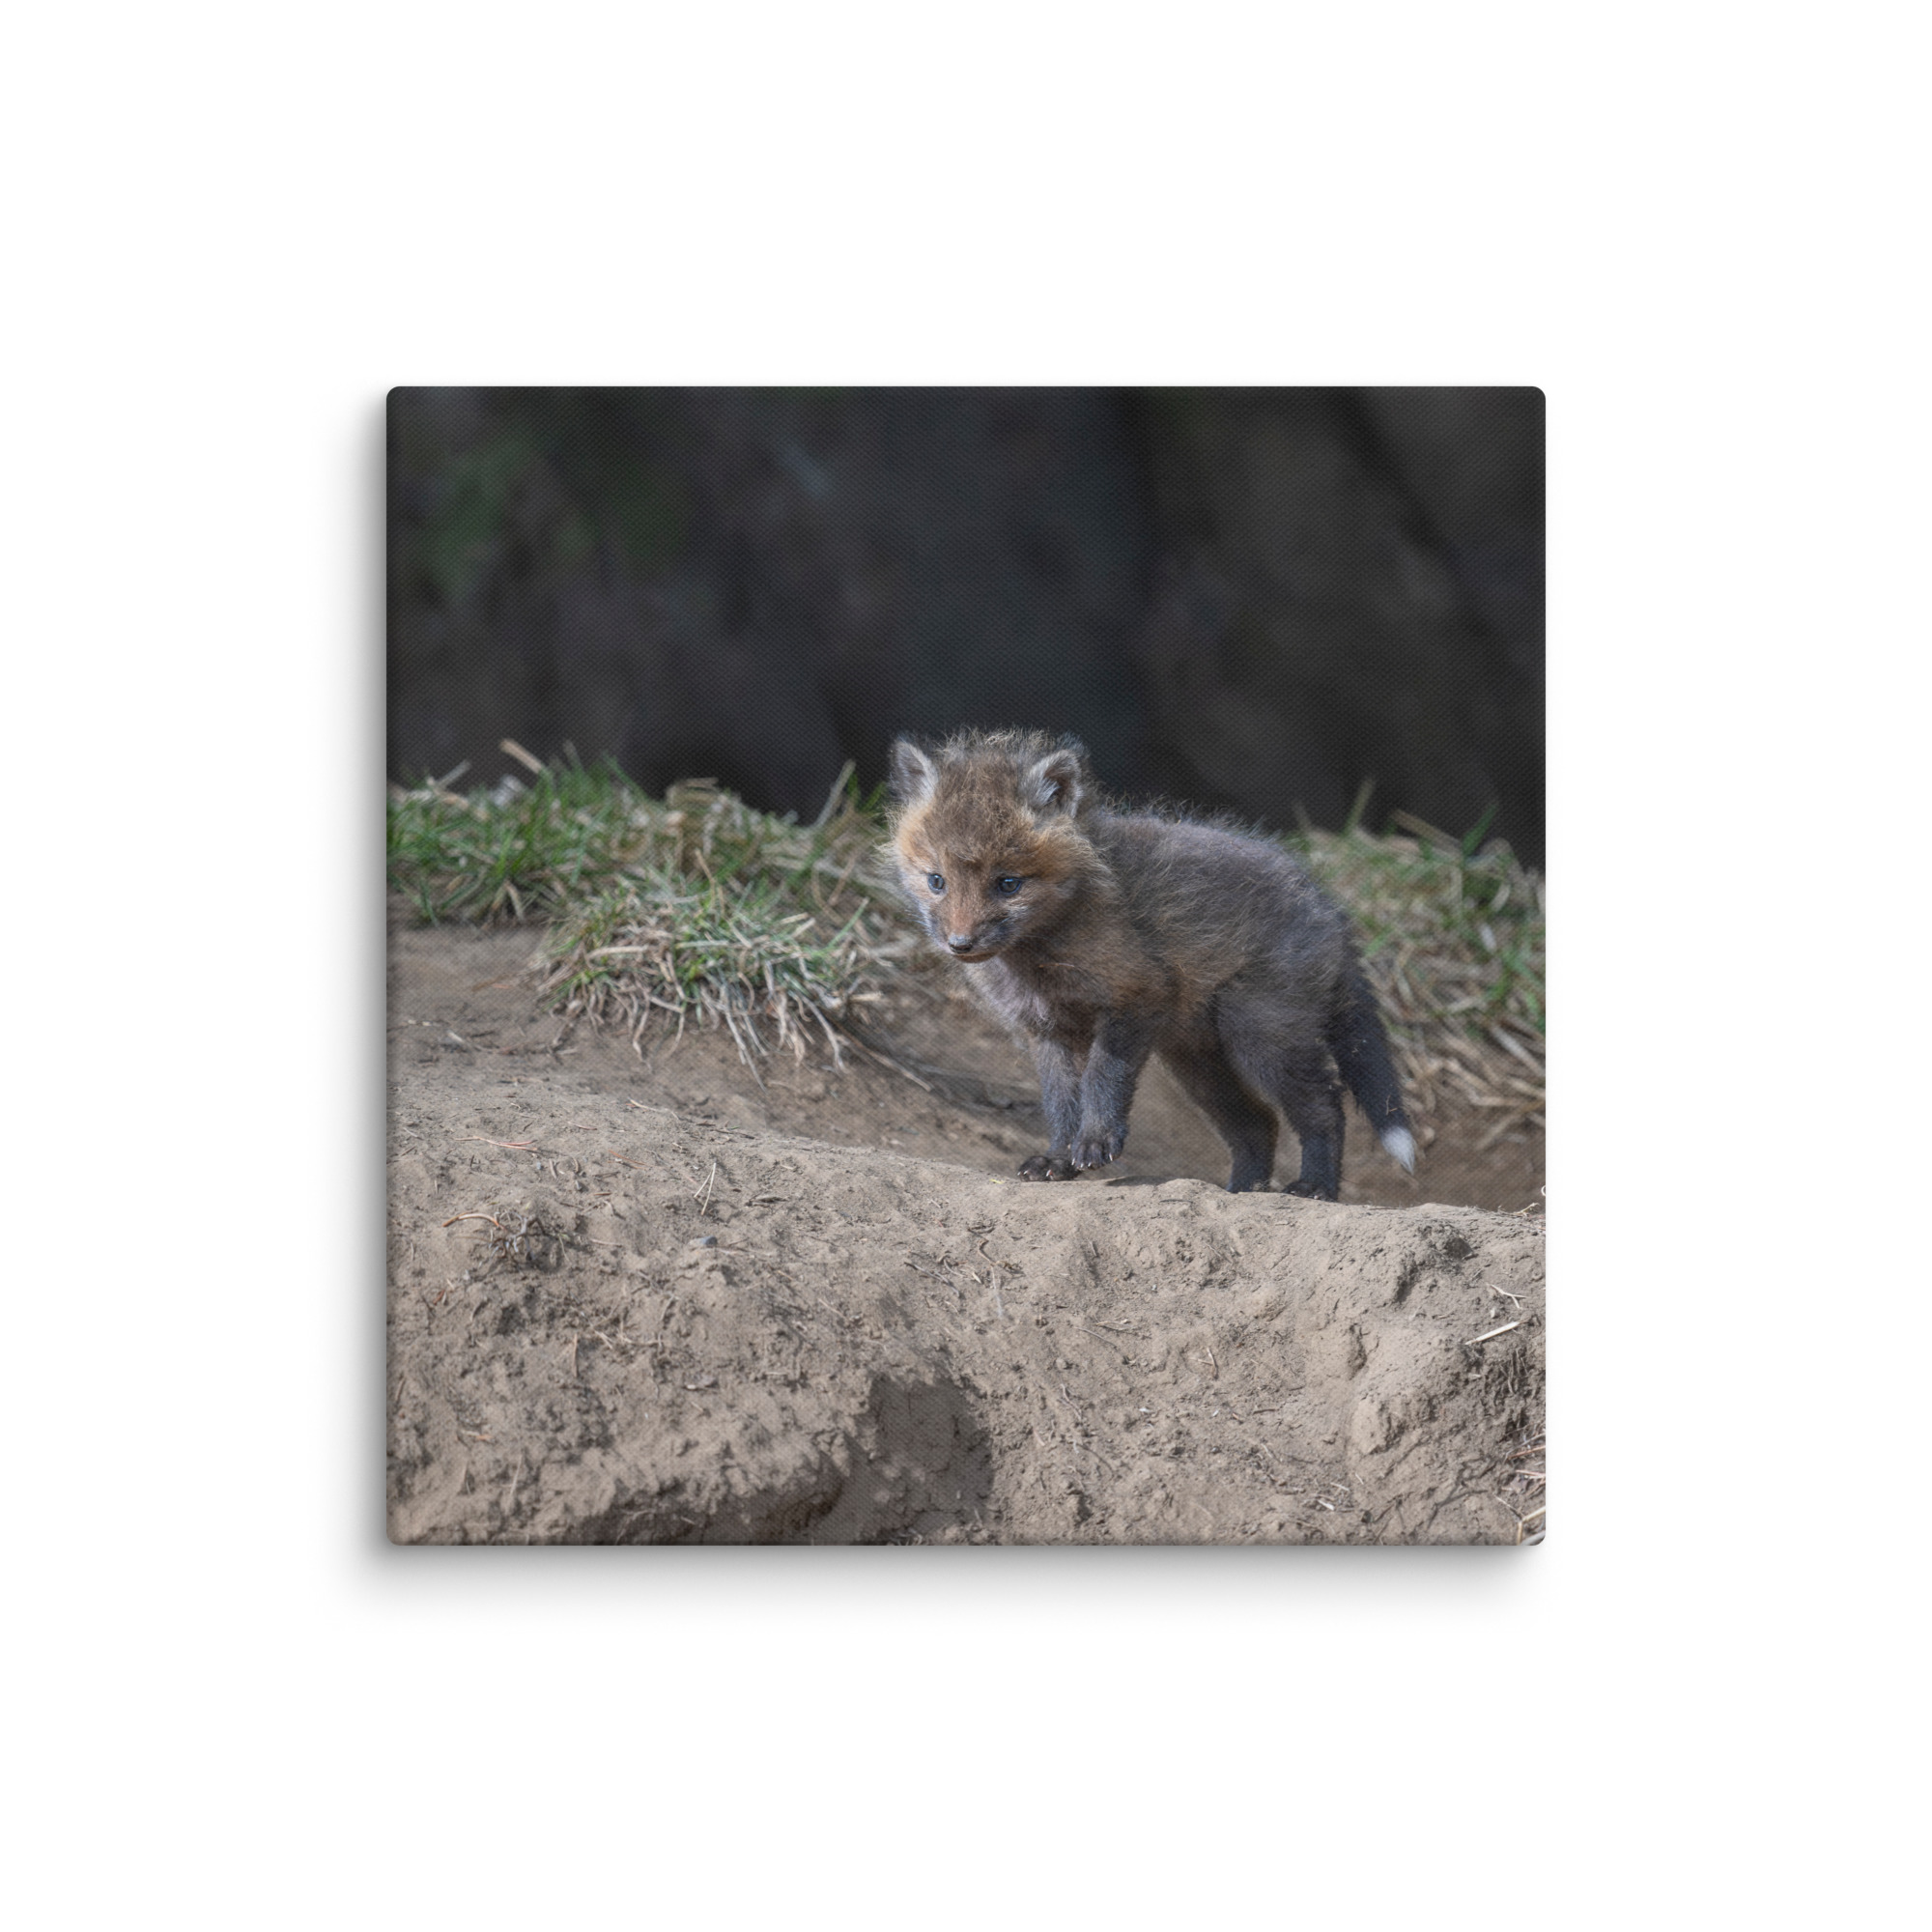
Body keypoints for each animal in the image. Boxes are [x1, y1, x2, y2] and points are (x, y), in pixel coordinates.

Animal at [886, 728, 1417, 1200]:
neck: (1039, 959)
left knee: (1325, 1107)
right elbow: (1060, 1103)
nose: (960, 944)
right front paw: (1058, 1159)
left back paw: (1315, 1187)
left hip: (1262, 1036)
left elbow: (1103, 1078)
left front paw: (1096, 1142)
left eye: (1008, 884)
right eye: (936, 881)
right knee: (1258, 1123)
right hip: (1198, 1061)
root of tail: (1328, 907)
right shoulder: (1047, 1030)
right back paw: (1243, 1191)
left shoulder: (1136, 995)